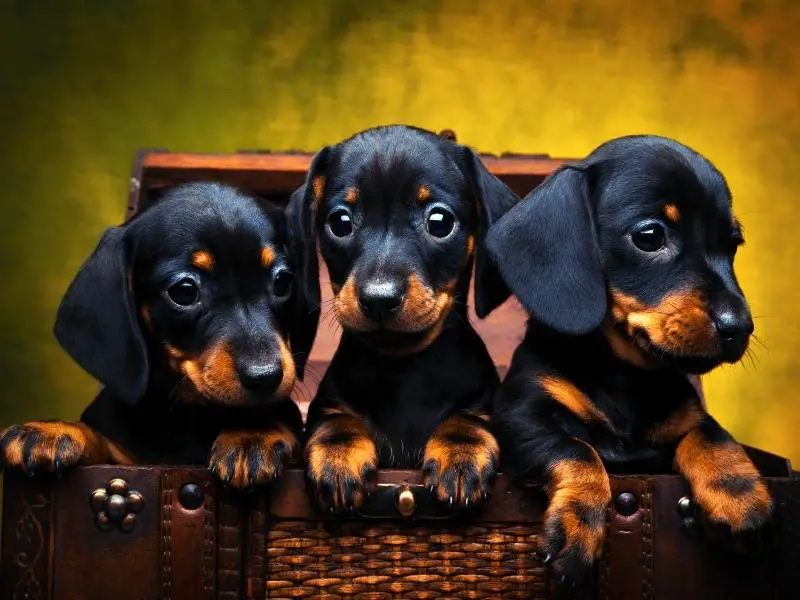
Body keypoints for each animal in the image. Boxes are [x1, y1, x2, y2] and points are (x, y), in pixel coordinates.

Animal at [0, 182, 318, 488]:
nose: (266, 377)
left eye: (283, 282)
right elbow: (100, 437)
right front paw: (53, 430)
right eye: (184, 291)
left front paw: (252, 433)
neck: (188, 416)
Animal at [288, 124, 520, 512]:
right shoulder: (326, 405)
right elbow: (337, 419)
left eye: (440, 222)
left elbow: (469, 416)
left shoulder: (483, 400)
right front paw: (339, 453)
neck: (404, 370)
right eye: (340, 222)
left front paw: (461, 449)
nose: (379, 299)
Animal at [484, 135, 772, 580]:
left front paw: (738, 492)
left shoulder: (685, 418)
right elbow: (576, 450)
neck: (624, 375)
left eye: (732, 245)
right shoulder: (523, 416)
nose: (739, 328)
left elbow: (711, 434)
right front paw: (579, 524)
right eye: (650, 236)